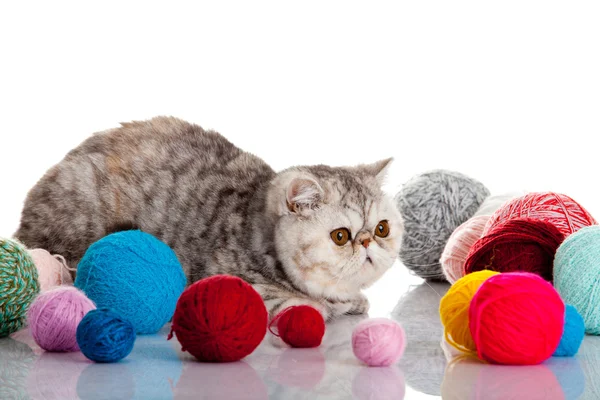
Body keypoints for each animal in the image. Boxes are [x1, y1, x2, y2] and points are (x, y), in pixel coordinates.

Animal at [15, 115, 404, 318]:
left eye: (382, 229)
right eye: (341, 236)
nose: (367, 242)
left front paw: (352, 302)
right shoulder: (231, 285)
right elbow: (303, 304)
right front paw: (323, 306)